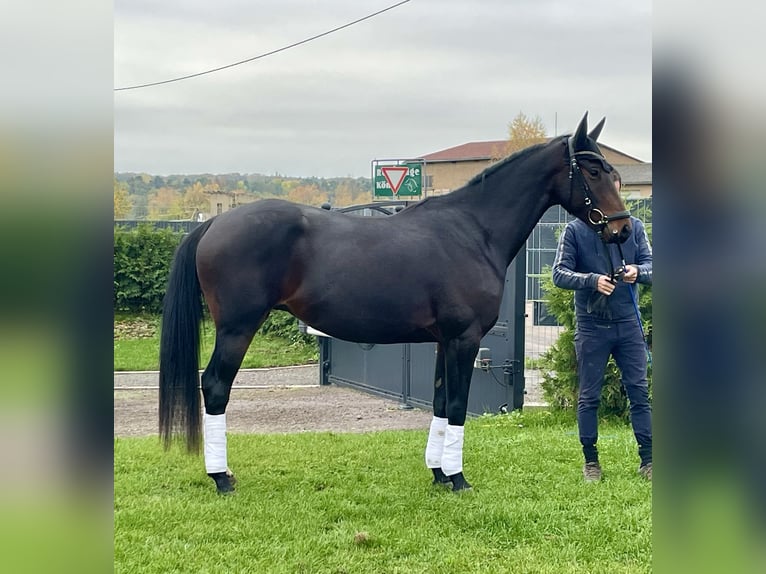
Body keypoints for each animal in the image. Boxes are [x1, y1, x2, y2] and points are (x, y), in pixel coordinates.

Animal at [159, 113, 632, 496]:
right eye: (593, 170)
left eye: (614, 172)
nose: (623, 230)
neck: (473, 231)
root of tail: (215, 221)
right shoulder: (464, 339)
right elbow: (457, 406)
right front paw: (459, 479)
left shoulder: (445, 341)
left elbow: (440, 403)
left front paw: (439, 474)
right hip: (237, 328)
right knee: (215, 385)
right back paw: (221, 478)